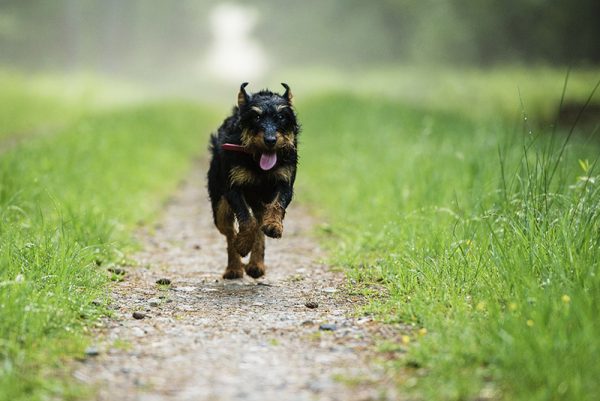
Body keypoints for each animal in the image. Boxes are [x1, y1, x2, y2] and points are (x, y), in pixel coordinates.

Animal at [207, 82, 298, 278]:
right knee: (229, 231)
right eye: (256, 117)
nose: (270, 140)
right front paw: (242, 245)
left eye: (281, 116)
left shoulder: (285, 182)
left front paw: (274, 226)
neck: (257, 161)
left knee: (259, 224)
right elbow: (245, 220)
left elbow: (278, 205)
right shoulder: (233, 188)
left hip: (260, 202)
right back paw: (234, 267)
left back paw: (256, 265)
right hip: (219, 206)